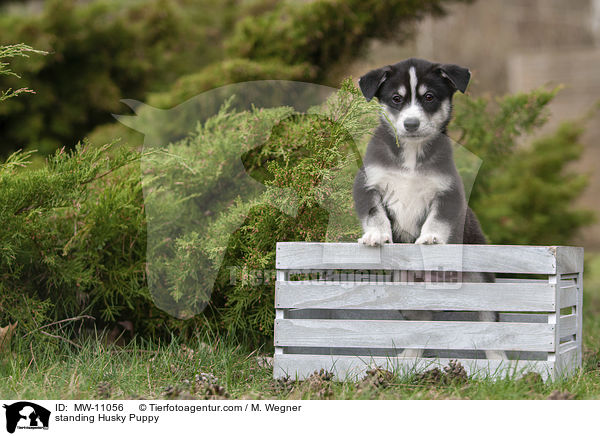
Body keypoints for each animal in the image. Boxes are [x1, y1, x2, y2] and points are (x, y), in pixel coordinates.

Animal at [354, 57, 508, 358]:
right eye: (396, 98)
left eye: (429, 97)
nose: (411, 124)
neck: (412, 154)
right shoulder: (367, 185)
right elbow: (375, 214)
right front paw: (377, 235)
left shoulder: (448, 193)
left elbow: (437, 220)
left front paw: (431, 239)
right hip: (405, 290)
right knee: (421, 325)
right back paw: (409, 358)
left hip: (482, 283)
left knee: (490, 323)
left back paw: (500, 361)